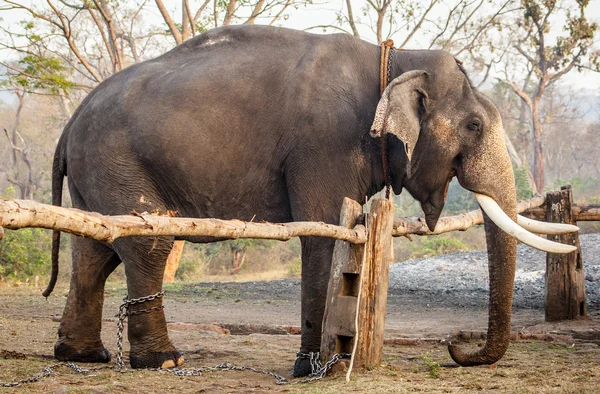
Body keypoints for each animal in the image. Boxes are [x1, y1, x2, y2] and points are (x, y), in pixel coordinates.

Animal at [48, 23, 572, 376]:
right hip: (117, 158)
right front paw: (312, 367)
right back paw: (163, 361)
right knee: (147, 241)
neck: (395, 59)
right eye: (474, 127)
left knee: (96, 251)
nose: (455, 345)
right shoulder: (323, 144)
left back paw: (83, 355)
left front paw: (330, 359)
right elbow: (321, 229)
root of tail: (69, 125)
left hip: (99, 170)